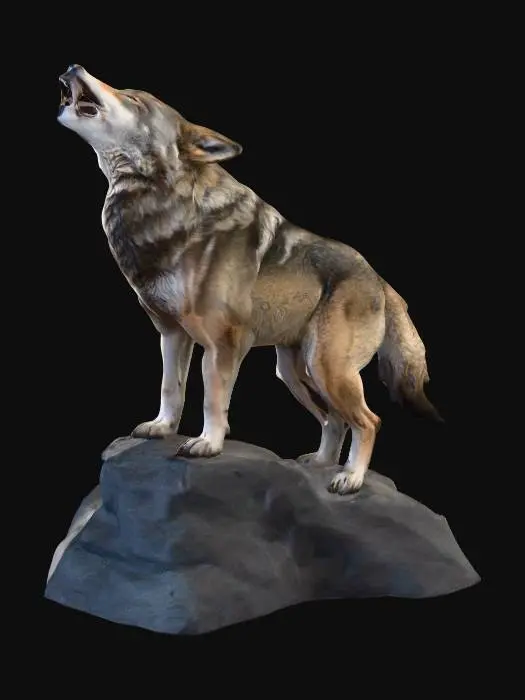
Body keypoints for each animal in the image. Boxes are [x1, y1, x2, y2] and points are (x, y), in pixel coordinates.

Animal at [57, 64, 442, 495]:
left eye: (134, 99)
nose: (73, 67)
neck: (162, 209)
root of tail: (381, 282)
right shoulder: (172, 334)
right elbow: (171, 388)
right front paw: (162, 428)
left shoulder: (225, 345)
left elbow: (212, 399)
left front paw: (208, 443)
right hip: (295, 373)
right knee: (334, 420)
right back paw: (319, 464)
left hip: (327, 370)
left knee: (368, 420)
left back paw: (350, 478)